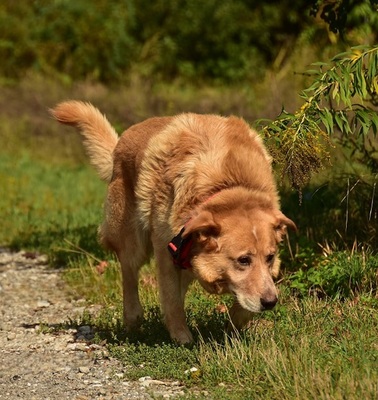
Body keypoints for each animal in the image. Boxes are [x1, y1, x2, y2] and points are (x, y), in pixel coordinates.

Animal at [51, 102, 296, 344]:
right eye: (243, 260)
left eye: (270, 257)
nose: (271, 302)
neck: (228, 187)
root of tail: (121, 142)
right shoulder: (165, 253)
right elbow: (172, 301)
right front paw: (181, 337)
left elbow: (244, 306)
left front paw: (233, 324)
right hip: (133, 242)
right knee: (129, 274)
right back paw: (133, 319)